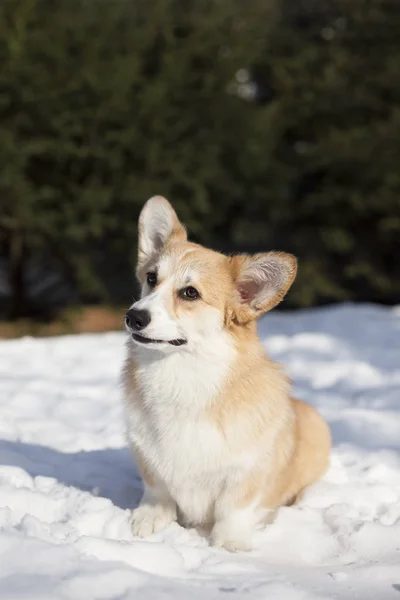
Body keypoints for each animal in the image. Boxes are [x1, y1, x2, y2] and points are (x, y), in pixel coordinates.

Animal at [122, 197, 332, 552]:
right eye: (151, 278)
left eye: (190, 293)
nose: (133, 317)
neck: (182, 375)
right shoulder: (147, 458)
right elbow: (157, 491)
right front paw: (150, 518)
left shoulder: (245, 473)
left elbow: (233, 509)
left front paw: (227, 543)